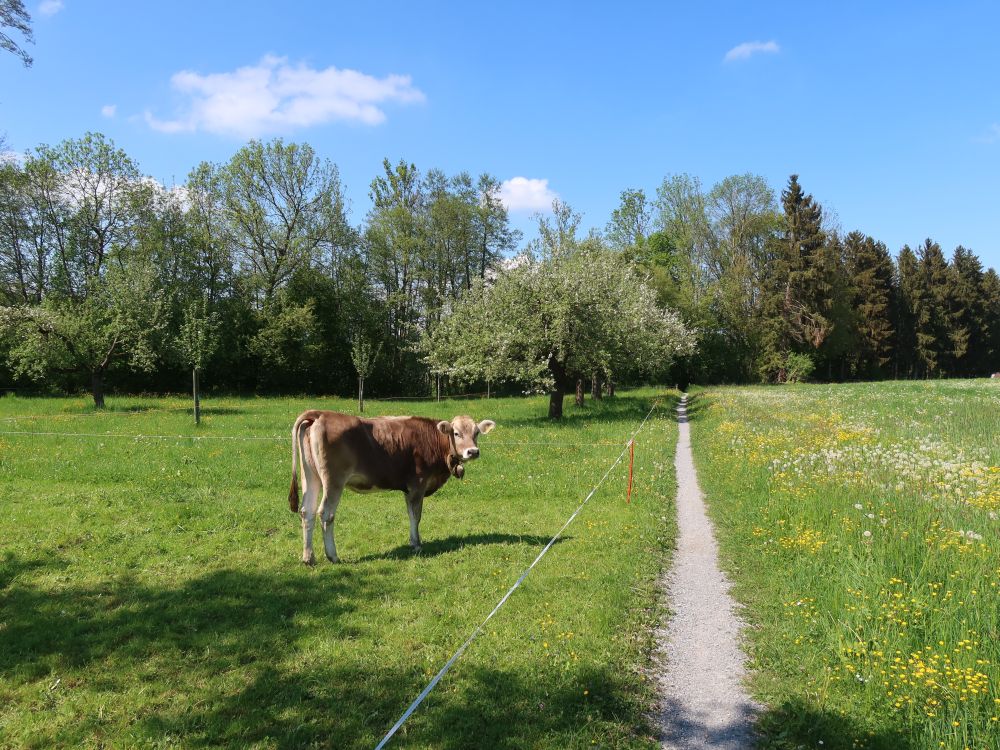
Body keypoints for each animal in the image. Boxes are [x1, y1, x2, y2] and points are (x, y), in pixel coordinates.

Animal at [288, 414, 494, 568]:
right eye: (456, 433)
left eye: (476, 432)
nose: (473, 451)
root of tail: (321, 414)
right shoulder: (418, 484)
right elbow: (416, 515)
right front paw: (417, 544)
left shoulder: (408, 488)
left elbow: (410, 514)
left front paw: (413, 541)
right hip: (333, 480)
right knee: (326, 513)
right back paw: (333, 556)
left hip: (310, 477)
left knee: (307, 511)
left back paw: (309, 557)